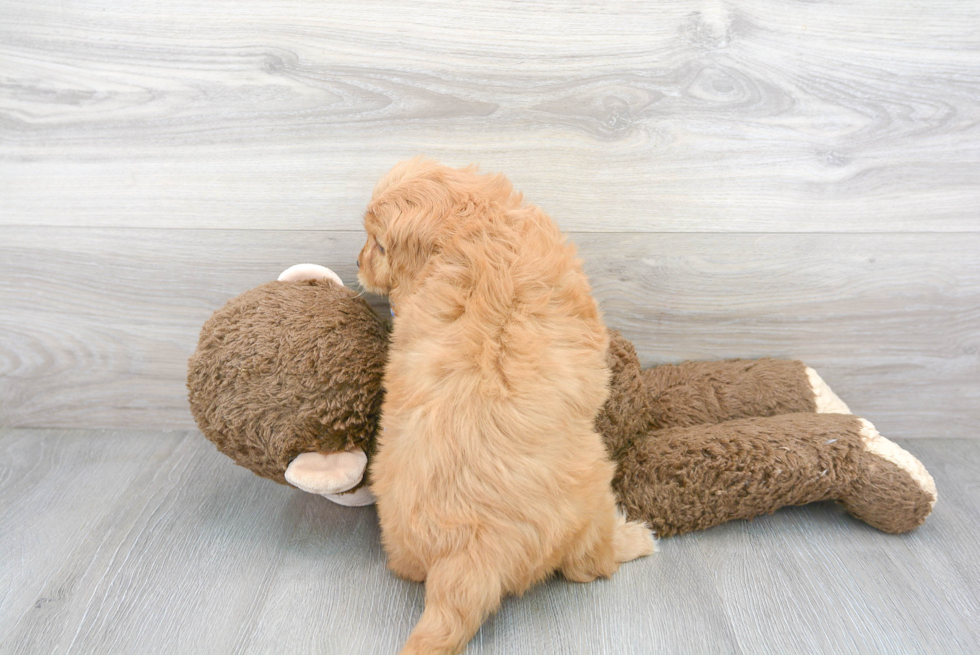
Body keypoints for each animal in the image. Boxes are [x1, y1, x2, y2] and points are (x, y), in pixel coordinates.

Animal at [356, 160, 656, 655]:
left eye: (378, 244)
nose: (357, 264)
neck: (474, 230)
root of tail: (467, 555)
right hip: (591, 489)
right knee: (587, 565)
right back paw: (635, 538)